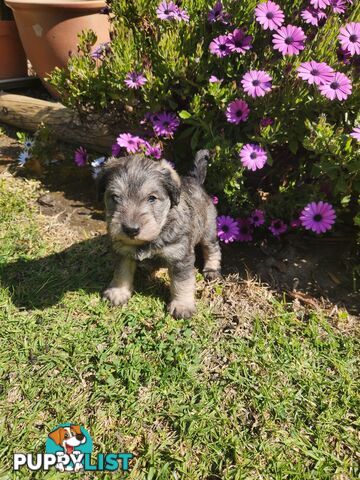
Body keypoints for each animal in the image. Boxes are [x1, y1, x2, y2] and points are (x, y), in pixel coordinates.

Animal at [99, 152, 222, 318]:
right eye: (115, 197)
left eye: (152, 198)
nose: (131, 230)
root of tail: (195, 181)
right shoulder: (122, 251)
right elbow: (121, 272)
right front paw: (117, 292)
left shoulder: (180, 257)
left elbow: (182, 283)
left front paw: (182, 305)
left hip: (208, 230)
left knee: (212, 249)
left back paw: (212, 269)